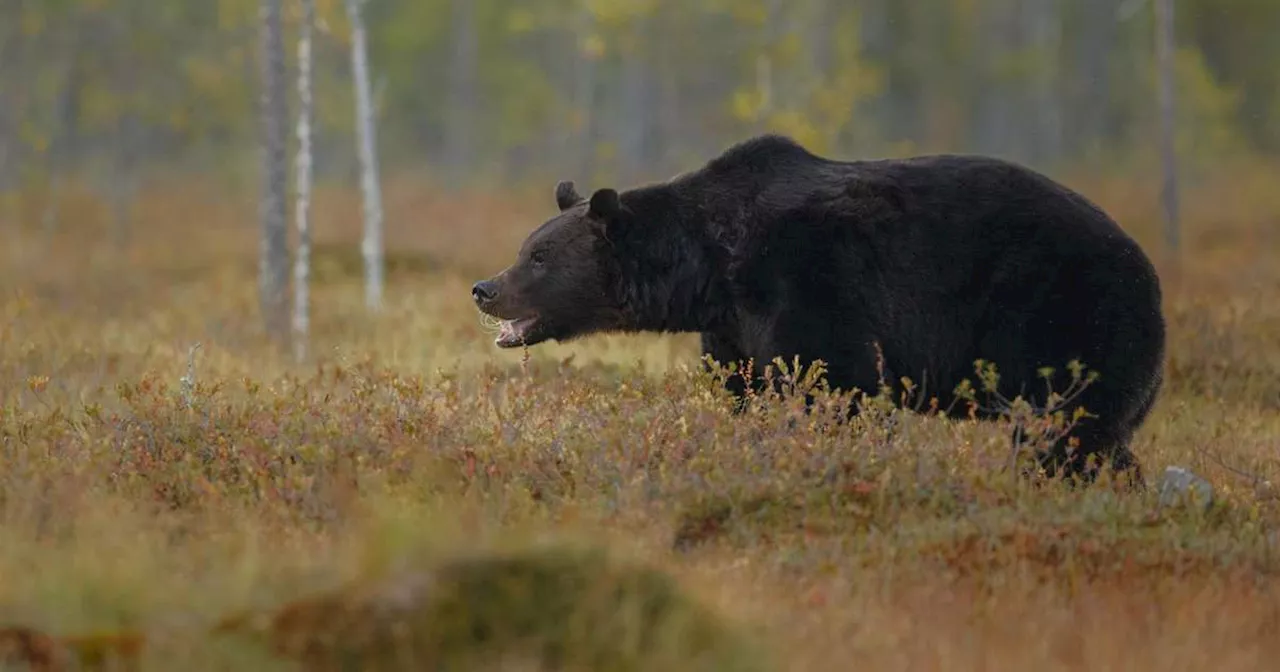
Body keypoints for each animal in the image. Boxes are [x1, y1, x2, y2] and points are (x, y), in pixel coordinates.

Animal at [473, 133, 1172, 486]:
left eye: (538, 257)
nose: (484, 287)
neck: (712, 266)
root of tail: (1151, 273)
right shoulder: (733, 327)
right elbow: (749, 387)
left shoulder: (813, 280)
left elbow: (838, 383)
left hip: (1070, 317)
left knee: (1068, 428)